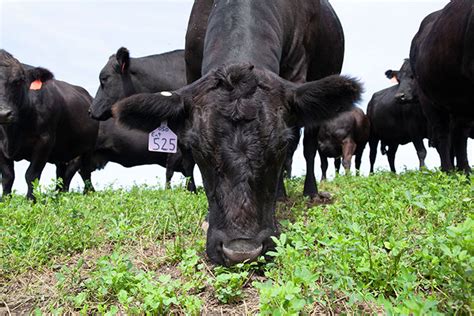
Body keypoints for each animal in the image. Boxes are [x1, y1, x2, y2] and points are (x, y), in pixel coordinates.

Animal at [0, 50, 98, 201]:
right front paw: (5, 201)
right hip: (62, 151)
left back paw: (88, 194)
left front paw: (31, 201)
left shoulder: (44, 141)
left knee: (83, 172)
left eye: (18, 81)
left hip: (87, 149)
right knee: (62, 175)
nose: (3, 113)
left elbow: (31, 175)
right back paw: (59, 196)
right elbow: (7, 176)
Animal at [113, 0, 362, 266]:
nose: (242, 251)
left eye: (280, 145)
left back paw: (307, 191)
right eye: (197, 147)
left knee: (309, 147)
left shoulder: (297, 71)